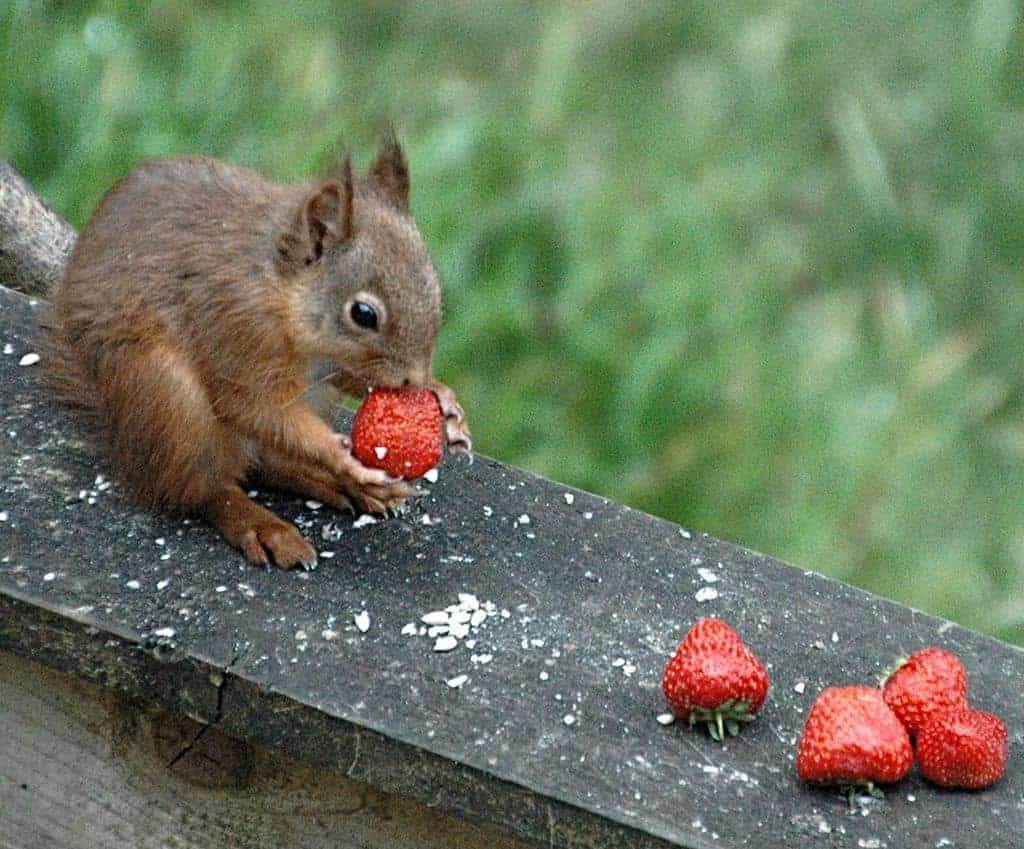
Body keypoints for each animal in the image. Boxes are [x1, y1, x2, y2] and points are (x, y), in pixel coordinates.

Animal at [44, 135, 471, 568]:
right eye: (363, 314)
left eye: (435, 288)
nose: (413, 381)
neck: (277, 290)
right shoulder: (236, 331)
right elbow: (255, 407)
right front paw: (345, 461)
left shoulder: (333, 365)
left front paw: (444, 401)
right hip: (169, 403)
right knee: (205, 489)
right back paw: (264, 524)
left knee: (269, 464)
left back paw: (336, 484)